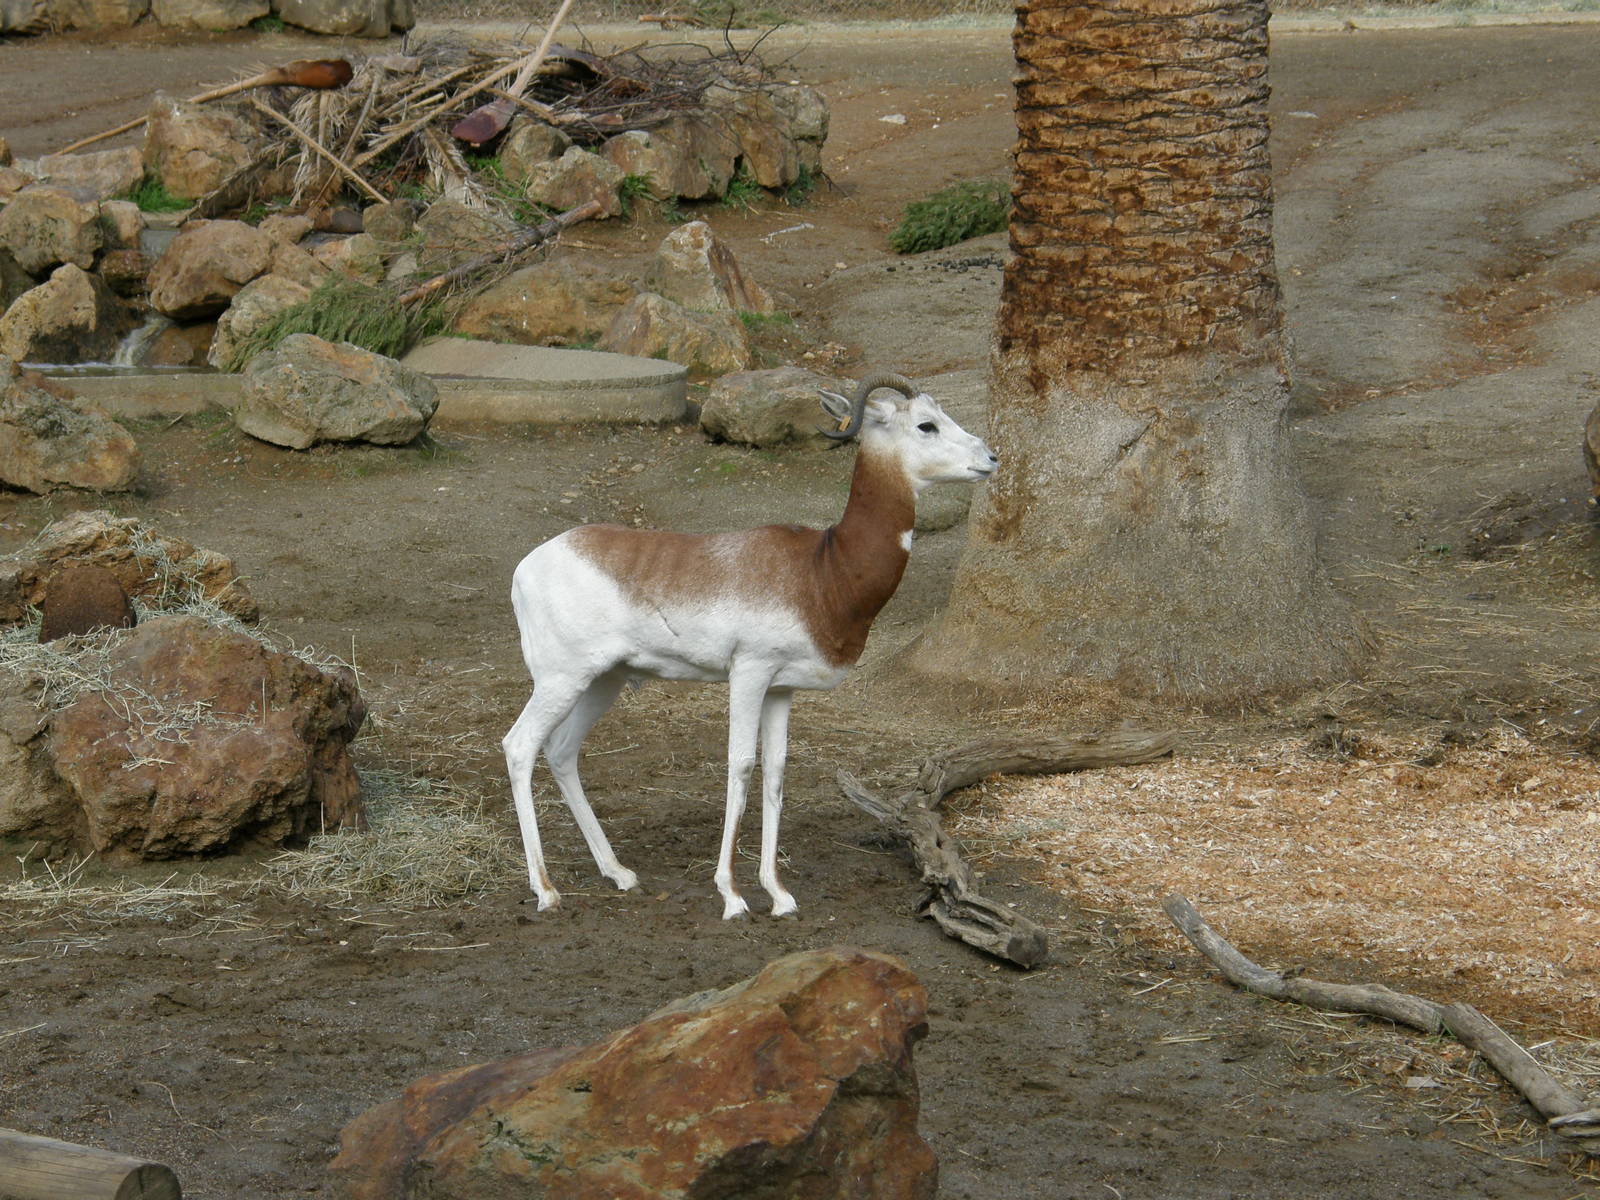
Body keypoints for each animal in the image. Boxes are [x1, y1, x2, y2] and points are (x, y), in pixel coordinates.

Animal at [502, 371, 997, 918]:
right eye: (926, 424)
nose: (991, 457)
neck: (823, 569)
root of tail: (527, 565)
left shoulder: (781, 689)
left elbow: (775, 773)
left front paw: (778, 894)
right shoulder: (749, 673)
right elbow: (740, 766)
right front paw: (732, 895)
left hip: (602, 680)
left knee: (562, 752)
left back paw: (618, 872)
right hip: (561, 679)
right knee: (520, 746)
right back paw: (546, 889)